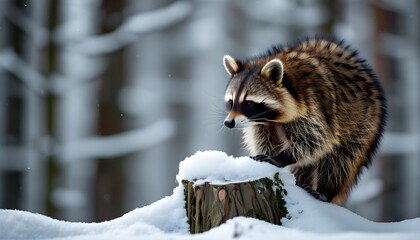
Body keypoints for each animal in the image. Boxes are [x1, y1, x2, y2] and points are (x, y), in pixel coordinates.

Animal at [223, 36, 388, 205]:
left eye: (248, 103)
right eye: (231, 102)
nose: (228, 123)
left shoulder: (316, 105)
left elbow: (315, 139)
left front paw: (280, 158)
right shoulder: (262, 124)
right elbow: (265, 140)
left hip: (362, 123)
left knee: (340, 160)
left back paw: (325, 191)